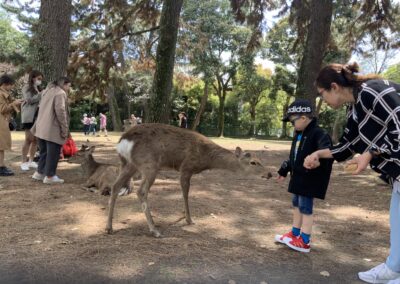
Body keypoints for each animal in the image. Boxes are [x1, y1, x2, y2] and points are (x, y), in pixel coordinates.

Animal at [105, 123, 272, 236]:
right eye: (253, 162)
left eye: (260, 159)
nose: (270, 174)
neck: (206, 159)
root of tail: (122, 142)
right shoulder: (186, 167)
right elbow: (185, 192)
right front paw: (189, 219)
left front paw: (184, 216)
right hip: (149, 164)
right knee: (141, 191)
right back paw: (154, 230)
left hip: (129, 164)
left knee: (115, 186)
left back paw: (109, 227)